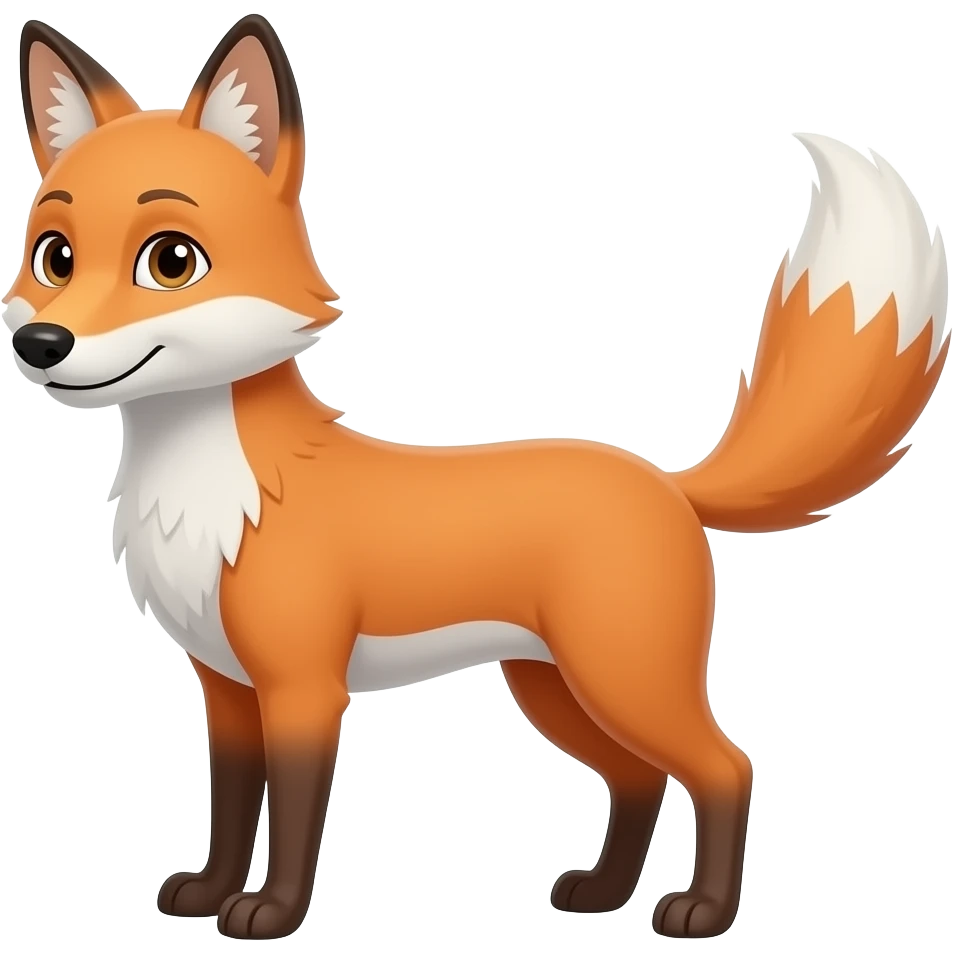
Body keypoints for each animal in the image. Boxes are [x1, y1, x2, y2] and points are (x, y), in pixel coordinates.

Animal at [6, 13, 951, 942]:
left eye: (171, 261)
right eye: (54, 257)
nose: (40, 344)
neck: (213, 493)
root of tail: (666, 480)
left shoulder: (304, 686)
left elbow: (297, 814)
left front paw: (269, 913)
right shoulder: (227, 688)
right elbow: (233, 805)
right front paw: (207, 891)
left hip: (623, 677)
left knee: (726, 767)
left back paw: (702, 912)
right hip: (555, 688)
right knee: (638, 779)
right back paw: (602, 892)